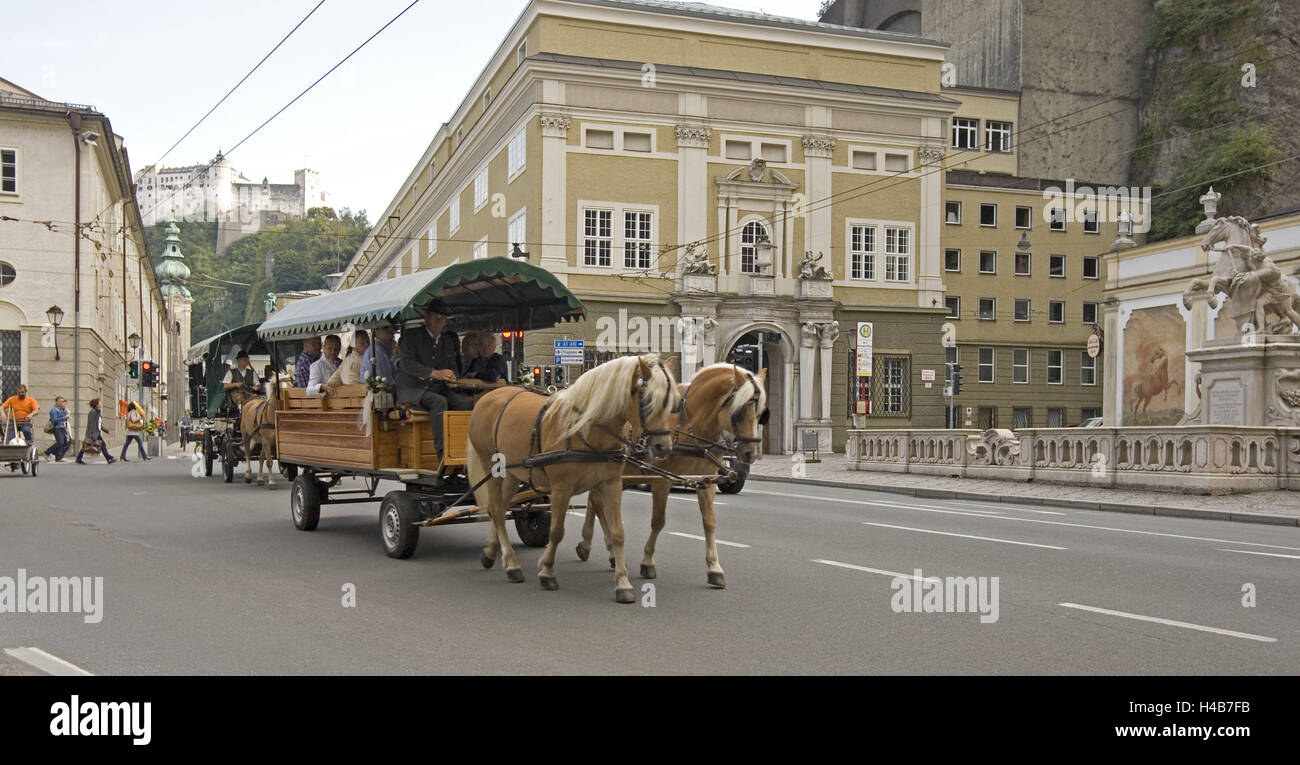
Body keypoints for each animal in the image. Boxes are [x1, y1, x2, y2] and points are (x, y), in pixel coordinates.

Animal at [473, 353, 686, 603]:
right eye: (647, 401)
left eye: (674, 403)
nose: (663, 447)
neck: (587, 430)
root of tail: (490, 396)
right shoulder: (561, 487)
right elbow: (557, 531)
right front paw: (547, 572)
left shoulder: (611, 484)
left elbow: (618, 533)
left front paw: (622, 582)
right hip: (492, 467)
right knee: (496, 510)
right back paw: (512, 564)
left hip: (513, 473)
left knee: (499, 508)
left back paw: (491, 552)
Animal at [577, 364, 764, 585]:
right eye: (739, 411)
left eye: (761, 412)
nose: (751, 453)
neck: (688, 427)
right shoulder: (661, 480)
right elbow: (658, 521)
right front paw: (648, 562)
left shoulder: (706, 480)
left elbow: (709, 522)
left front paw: (714, 568)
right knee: (597, 504)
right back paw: (600, 548)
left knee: (595, 503)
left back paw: (598, 549)